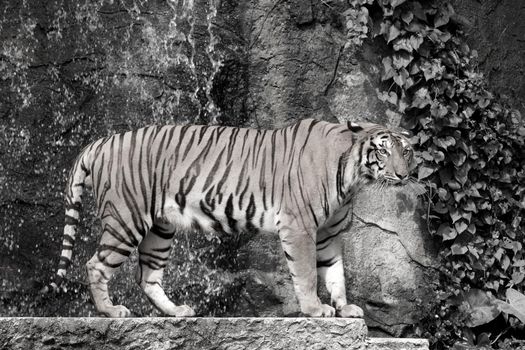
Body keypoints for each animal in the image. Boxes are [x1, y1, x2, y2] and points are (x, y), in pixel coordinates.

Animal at [50, 117, 418, 318]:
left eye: (407, 151)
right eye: (383, 150)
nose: (403, 174)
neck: (352, 175)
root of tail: (103, 140)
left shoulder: (329, 233)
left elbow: (335, 273)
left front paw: (345, 309)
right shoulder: (300, 227)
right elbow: (307, 274)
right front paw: (316, 309)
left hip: (160, 228)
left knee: (148, 276)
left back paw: (177, 311)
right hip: (126, 218)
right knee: (96, 265)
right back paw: (110, 311)